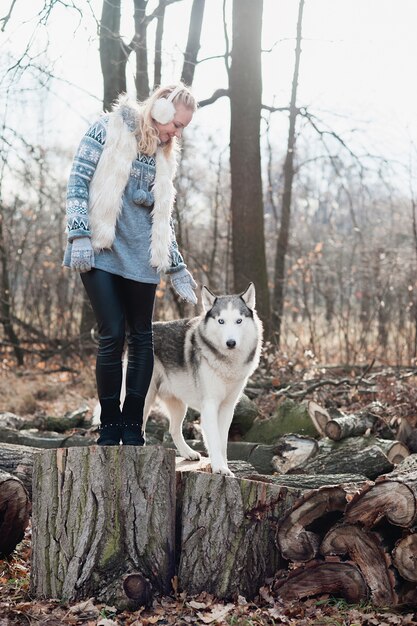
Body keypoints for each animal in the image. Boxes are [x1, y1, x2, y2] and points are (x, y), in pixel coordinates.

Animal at [141, 282, 262, 472]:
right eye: (221, 321)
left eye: (239, 321)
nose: (231, 343)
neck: (227, 363)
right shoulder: (210, 406)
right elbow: (214, 441)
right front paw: (220, 468)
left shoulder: (227, 408)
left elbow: (222, 443)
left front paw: (224, 467)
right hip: (146, 400)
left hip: (179, 406)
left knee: (173, 430)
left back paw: (188, 453)